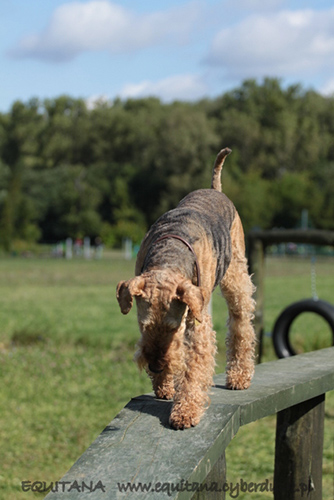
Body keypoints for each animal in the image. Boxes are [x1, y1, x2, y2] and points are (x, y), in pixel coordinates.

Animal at [117, 148, 256, 430]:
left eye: (173, 328)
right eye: (144, 326)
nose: (156, 367)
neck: (169, 256)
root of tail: (215, 189)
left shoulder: (196, 320)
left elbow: (193, 366)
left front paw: (185, 412)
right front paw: (164, 387)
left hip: (235, 279)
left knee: (241, 325)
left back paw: (239, 376)